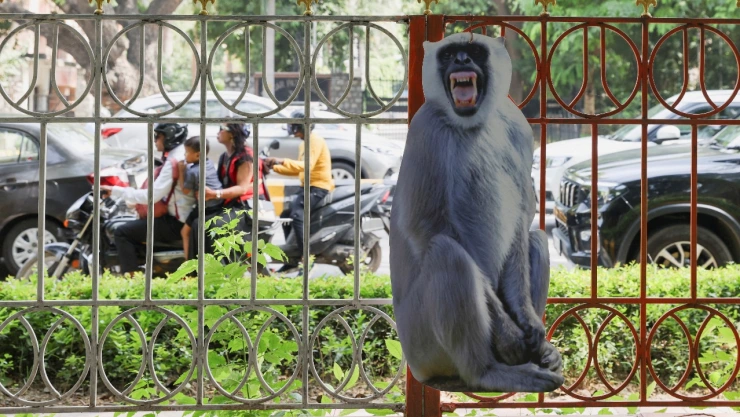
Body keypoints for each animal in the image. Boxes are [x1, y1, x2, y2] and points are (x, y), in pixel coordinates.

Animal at [389, 33, 564, 392]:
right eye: (450, 54)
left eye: (473, 52)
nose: (461, 61)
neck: (471, 123)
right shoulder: (425, 128)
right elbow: (424, 227)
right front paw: (510, 334)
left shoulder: (518, 127)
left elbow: (521, 218)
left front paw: (528, 322)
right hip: (421, 342)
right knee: (447, 253)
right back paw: (487, 371)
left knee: (537, 239)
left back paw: (540, 352)